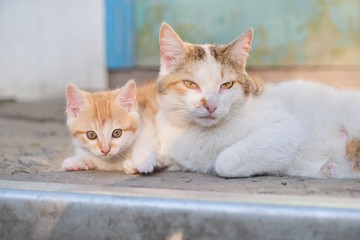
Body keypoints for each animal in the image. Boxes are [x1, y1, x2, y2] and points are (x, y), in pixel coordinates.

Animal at [131, 22, 360, 179]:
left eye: (227, 85)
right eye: (190, 84)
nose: (211, 105)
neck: (198, 135)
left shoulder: (286, 129)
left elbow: (224, 162)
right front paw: (144, 160)